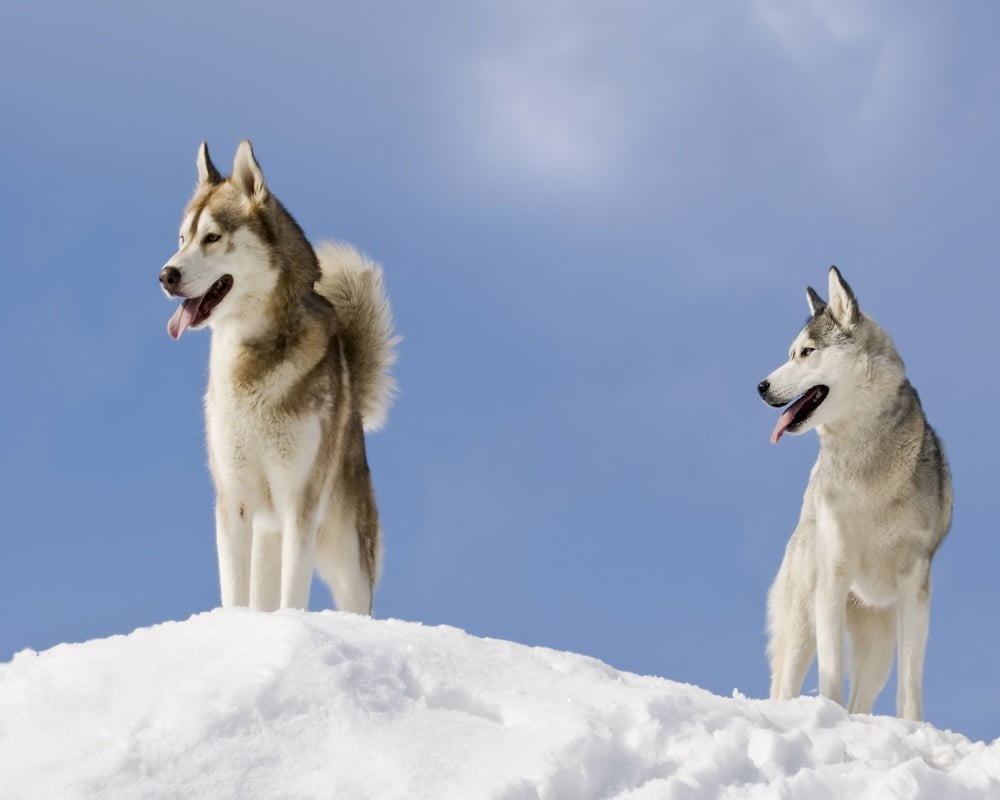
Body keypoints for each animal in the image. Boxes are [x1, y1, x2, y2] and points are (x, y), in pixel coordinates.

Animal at [158, 141, 396, 616]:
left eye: (212, 237)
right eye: (182, 238)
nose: (165, 276)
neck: (251, 368)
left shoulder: (299, 505)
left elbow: (293, 595)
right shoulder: (234, 501)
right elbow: (234, 591)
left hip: (345, 558)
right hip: (268, 534)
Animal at [756, 268, 952, 720]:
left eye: (806, 352)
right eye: (792, 353)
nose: (761, 386)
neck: (866, 464)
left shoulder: (915, 586)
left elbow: (911, 684)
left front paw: (913, 727)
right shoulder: (834, 574)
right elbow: (830, 672)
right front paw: (827, 714)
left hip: (880, 643)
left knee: (861, 698)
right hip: (802, 621)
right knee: (785, 685)